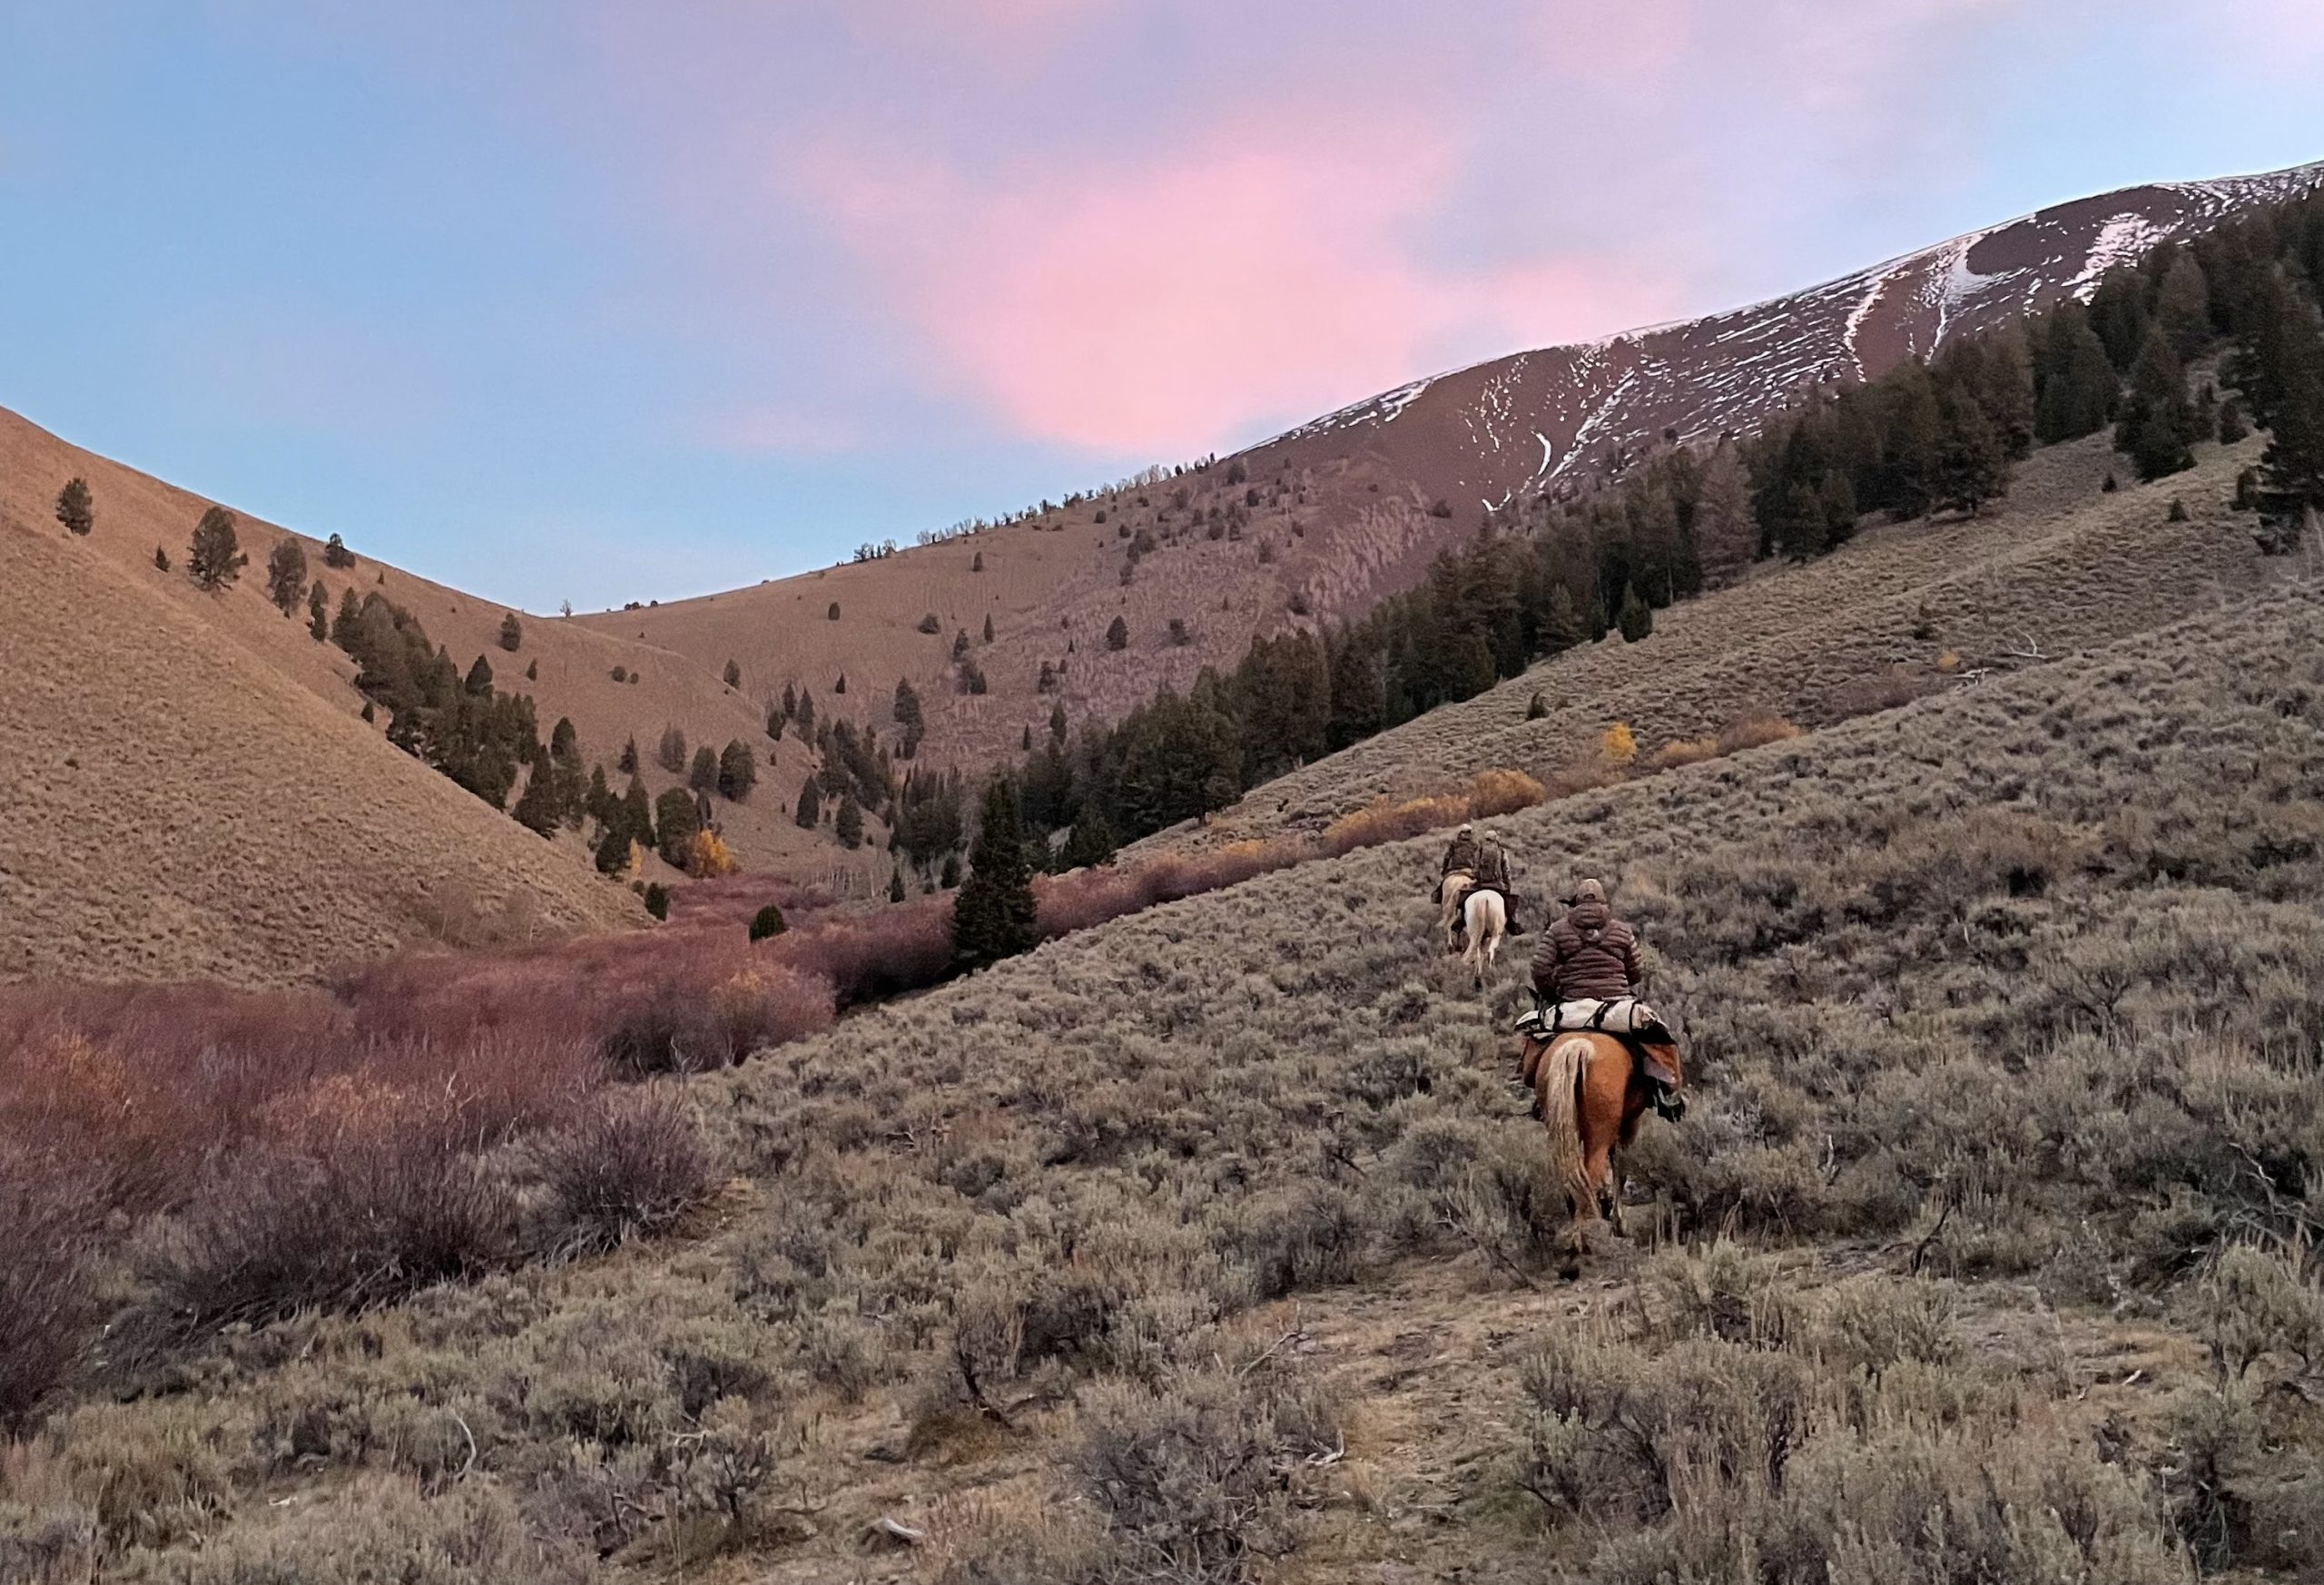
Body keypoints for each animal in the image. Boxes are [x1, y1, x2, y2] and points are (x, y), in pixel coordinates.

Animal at [1515, 1022, 1682, 1236]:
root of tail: (1578, 1048)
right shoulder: (1630, 1125)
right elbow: (1621, 1166)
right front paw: (1619, 1221)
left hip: (1562, 1131)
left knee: (1570, 1175)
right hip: (1599, 1137)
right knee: (1592, 1172)